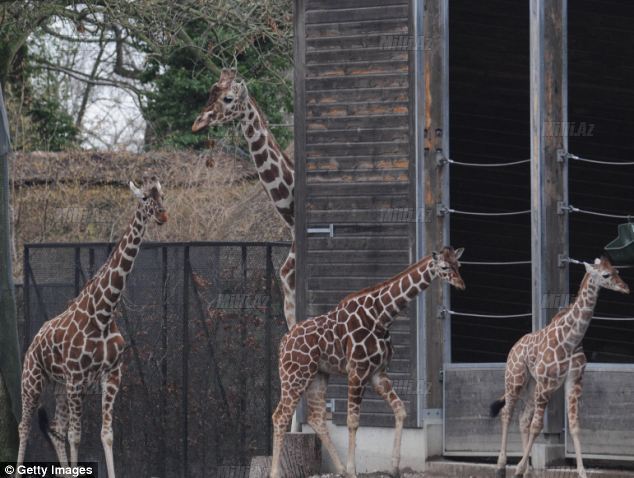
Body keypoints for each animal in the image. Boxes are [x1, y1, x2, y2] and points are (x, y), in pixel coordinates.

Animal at [16, 176, 168, 478]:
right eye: (145, 198)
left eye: (163, 196)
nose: (162, 215)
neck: (103, 314)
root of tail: (34, 341)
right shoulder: (77, 379)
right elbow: (76, 436)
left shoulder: (111, 374)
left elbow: (106, 434)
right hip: (33, 380)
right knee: (25, 425)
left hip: (59, 386)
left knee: (55, 427)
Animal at [268, 246, 464, 478]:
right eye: (444, 267)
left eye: (458, 265)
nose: (461, 284)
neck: (382, 316)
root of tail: (283, 343)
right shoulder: (357, 370)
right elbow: (353, 421)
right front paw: (353, 469)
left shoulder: (378, 373)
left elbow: (400, 409)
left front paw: (394, 467)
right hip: (295, 376)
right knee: (280, 416)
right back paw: (276, 472)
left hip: (318, 376)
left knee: (316, 418)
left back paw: (340, 469)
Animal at [488, 256, 628, 478]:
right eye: (606, 275)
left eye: (617, 271)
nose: (626, 288)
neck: (571, 340)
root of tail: (514, 348)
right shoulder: (547, 383)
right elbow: (537, 427)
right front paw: (516, 468)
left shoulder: (574, 381)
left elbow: (575, 426)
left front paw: (582, 472)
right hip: (515, 380)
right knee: (507, 414)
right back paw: (502, 467)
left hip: (532, 386)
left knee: (522, 419)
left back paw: (526, 471)